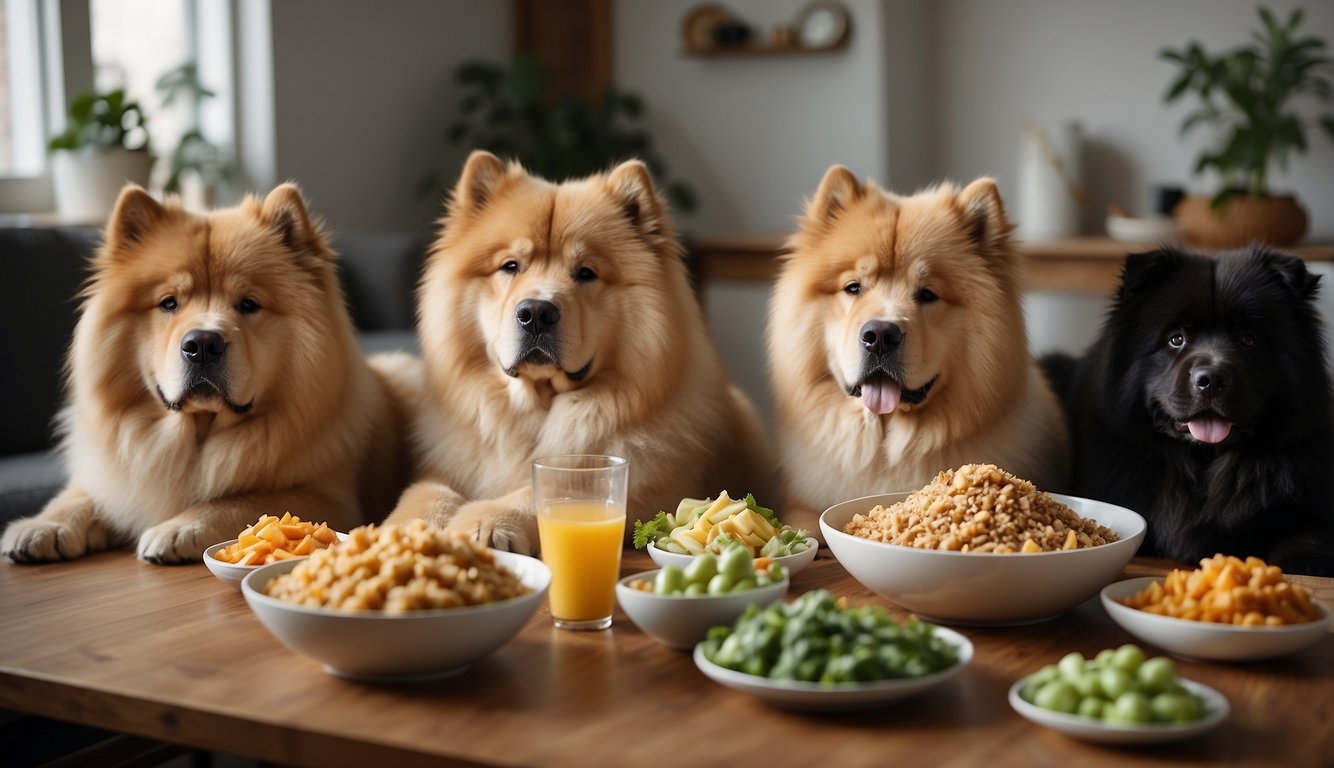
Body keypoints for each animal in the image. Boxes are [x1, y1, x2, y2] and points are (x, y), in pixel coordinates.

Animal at [0, 182, 408, 560]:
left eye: (248, 304)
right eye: (168, 303)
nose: (202, 344)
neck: (194, 437)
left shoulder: (329, 498)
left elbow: (241, 501)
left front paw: (179, 528)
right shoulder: (116, 475)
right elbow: (79, 496)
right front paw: (43, 526)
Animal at [386, 151, 773, 552]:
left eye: (586, 273)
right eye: (511, 266)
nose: (536, 313)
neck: (537, 410)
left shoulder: (644, 483)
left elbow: (542, 490)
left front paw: (486, 522)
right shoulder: (448, 466)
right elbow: (425, 492)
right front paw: (402, 529)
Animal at [1040, 242, 1334, 573]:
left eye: (1248, 339)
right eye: (1176, 339)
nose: (1212, 379)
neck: (1202, 464)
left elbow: (1308, 533)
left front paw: (1308, 561)